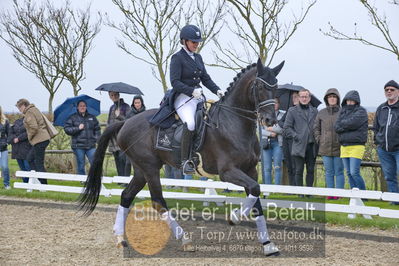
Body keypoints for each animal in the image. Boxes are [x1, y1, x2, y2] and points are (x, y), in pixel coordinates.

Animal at [79, 58, 284, 256]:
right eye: (259, 86)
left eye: (276, 87)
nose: (270, 120)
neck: (233, 122)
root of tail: (125, 122)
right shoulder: (228, 172)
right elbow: (255, 190)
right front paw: (235, 218)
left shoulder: (250, 170)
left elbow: (256, 197)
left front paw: (268, 245)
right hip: (150, 168)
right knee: (158, 201)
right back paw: (185, 240)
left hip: (140, 170)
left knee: (126, 195)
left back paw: (120, 238)